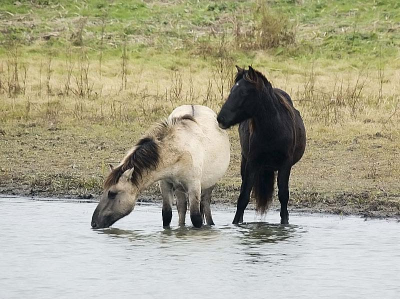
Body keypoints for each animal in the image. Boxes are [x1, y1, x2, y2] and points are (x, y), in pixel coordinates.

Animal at [90, 105, 228, 230]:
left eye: (112, 193)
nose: (94, 223)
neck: (178, 150)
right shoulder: (165, 184)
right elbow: (166, 215)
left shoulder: (194, 187)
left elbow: (196, 218)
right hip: (179, 188)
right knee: (182, 208)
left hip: (209, 185)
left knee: (205, 204)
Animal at [217, 66, 304, 225]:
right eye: (232, 90)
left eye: (243, 92)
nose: (221, 118)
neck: (273, 130)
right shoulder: (252, 163)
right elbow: (243, 197)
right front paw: (236, 223)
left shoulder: (285, 164)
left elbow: (283, 196)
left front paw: (285, 223)